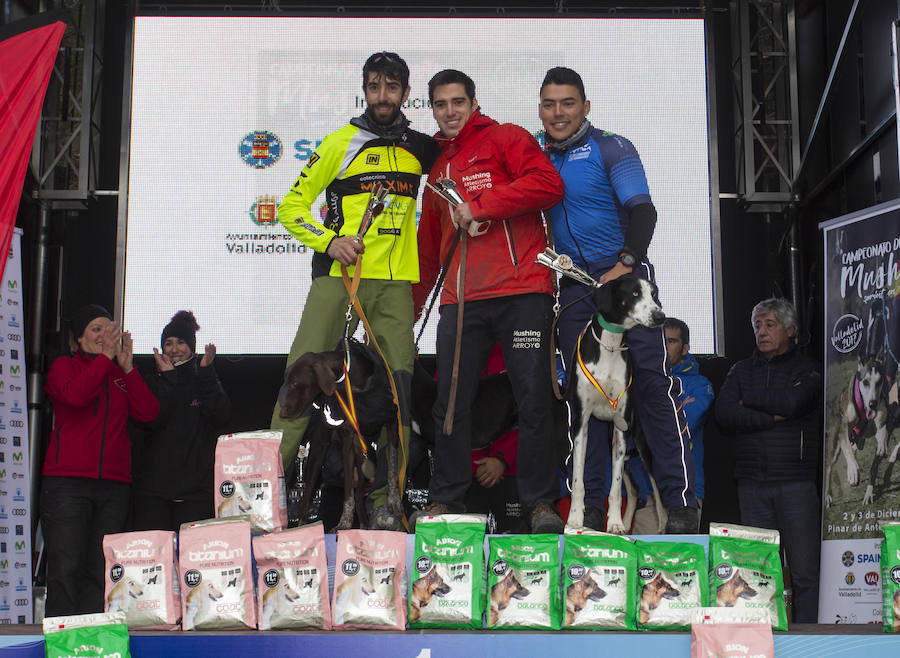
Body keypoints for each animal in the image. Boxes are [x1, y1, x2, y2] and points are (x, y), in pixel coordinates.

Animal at [568, 272, 668, 532]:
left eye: (654, 294)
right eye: (634, 293)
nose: (660, 317)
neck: (611, 345)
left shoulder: (621, 427)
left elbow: (614, 487)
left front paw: (614, 523)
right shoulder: (581, 422)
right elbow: (578, 479)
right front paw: (575, 518)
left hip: (638, 440)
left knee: (652, 486)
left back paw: (663, 524)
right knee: (633, 489)